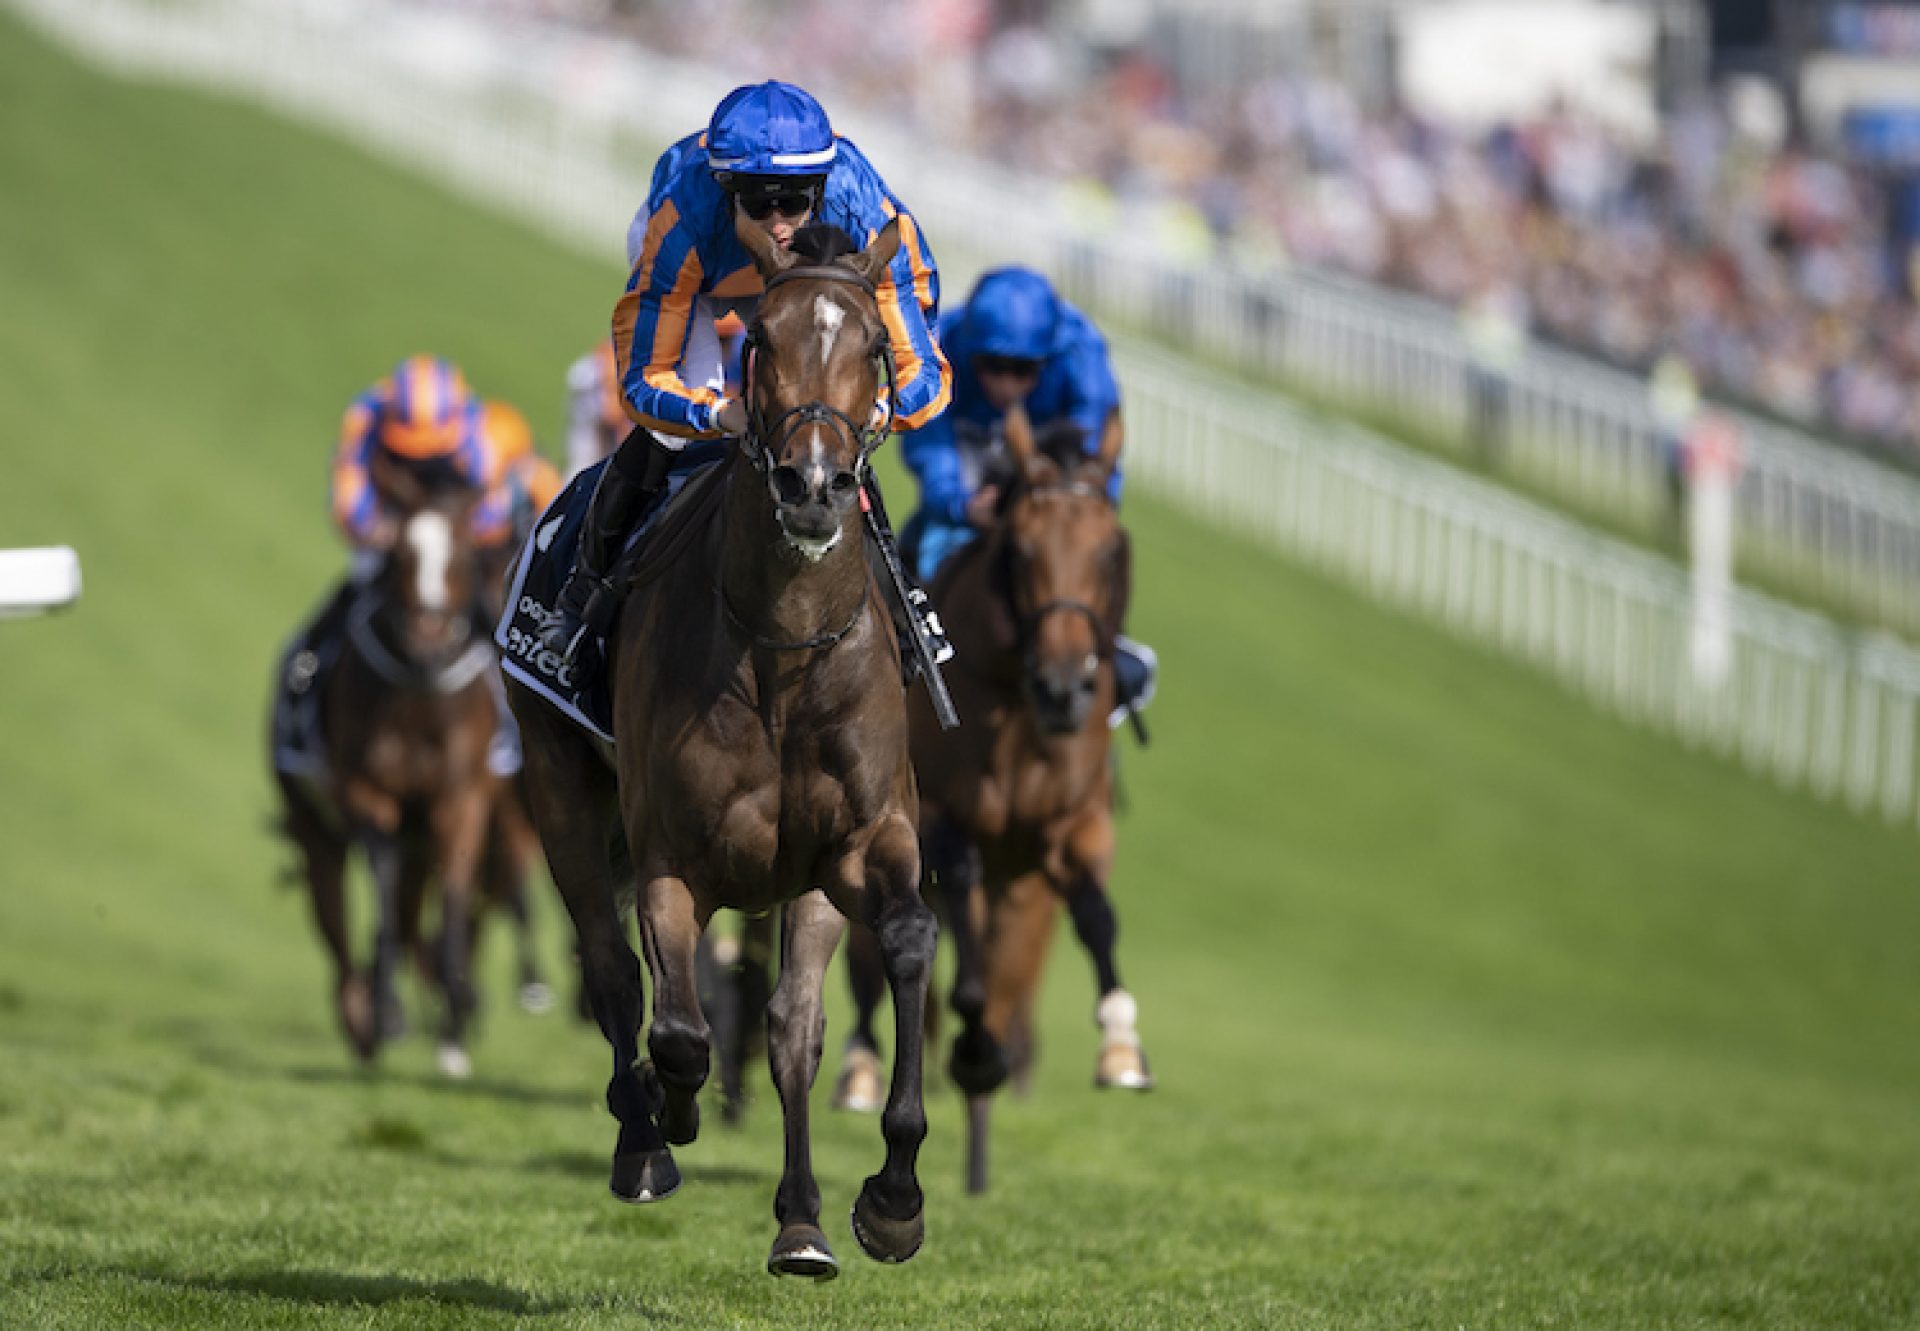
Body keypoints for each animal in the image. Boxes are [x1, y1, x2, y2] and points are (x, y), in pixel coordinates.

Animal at [272, 462, 510, 1075]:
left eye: (462, 555)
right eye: (400, 553)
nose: (426, 640)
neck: (419, 699)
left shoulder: (460, 803)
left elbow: (452, 906)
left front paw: (453, 1032)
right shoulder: (366, 792)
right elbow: (378, 890)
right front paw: (387, 1012)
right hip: (315, 830)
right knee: (337, 927)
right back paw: (361, 1017)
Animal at [503, 215, 936, 1275]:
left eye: (875, 344)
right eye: (761, 342)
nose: (814, 484)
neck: (782, 650)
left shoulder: (859, 843)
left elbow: (893, 952)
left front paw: (891, 1198)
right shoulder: (672, 855)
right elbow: (678, 1029)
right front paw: (669, 1116)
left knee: (790, 1026)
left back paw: (801, 1220)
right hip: (558, 782)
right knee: (614, 972)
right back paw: (643, 1138)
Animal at [837, 405, 1152, 1190]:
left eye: (1110, 552)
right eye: (1020, 550)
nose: (1065, 686)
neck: (1014, 699)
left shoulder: (1074, 825)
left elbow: (1097, 917)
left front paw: (1121, 1044)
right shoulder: (942, 824)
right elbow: (963, 972)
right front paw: (972, 1050)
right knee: (867, 966)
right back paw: (864, 1066)